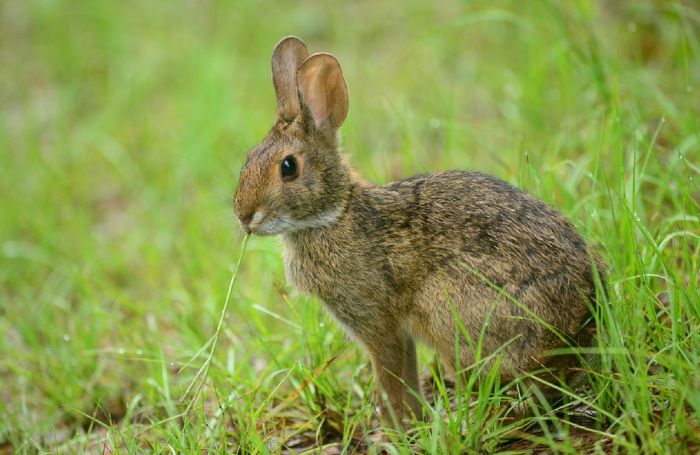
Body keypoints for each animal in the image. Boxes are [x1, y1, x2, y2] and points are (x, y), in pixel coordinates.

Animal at [232, 36, 604, 428]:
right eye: (249, 157)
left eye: (288, 167)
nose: (244, 216)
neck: (335, 214)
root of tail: (579, 327)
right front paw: (411, 422)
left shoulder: (377, 322)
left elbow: (391, 375)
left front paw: (396, 427)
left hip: (451, 311)